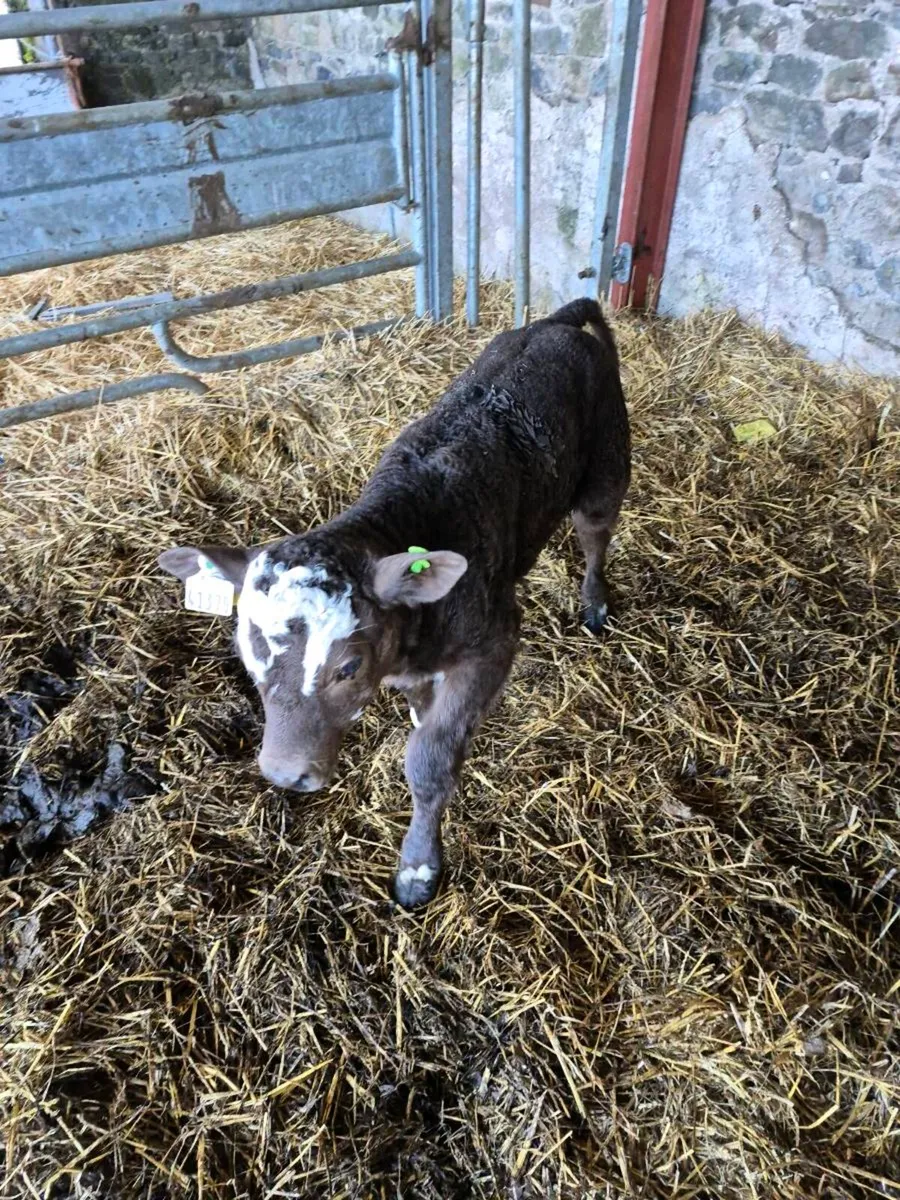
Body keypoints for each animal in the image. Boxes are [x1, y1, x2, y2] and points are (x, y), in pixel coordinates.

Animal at [158, 298, 630, 907]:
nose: (286, 774)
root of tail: (556, 322)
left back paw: (594, 602)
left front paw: (418, 868)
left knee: (596, 534)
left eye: (348, 666)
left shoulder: (494, 641)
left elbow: (429, 759)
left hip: (607, 464)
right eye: (247, 660)